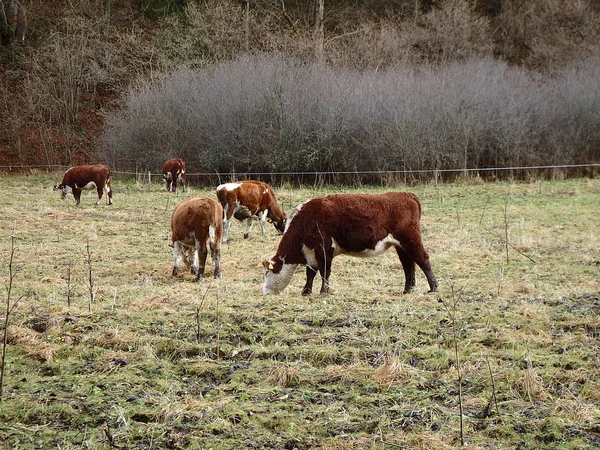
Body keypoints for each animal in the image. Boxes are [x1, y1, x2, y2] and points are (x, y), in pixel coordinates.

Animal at [262, 192, 436, 296]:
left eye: (267, 273)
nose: (263, 292)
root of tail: (407, 195)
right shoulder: (311, 253)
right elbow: (310, 273)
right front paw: (306, 292)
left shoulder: (324, 249)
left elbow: (324, 272)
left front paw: (323, 291)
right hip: (401, 245)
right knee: (408, 265)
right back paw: (408, 290)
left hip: (410, 239)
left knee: (422, 259)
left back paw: (433, 287)